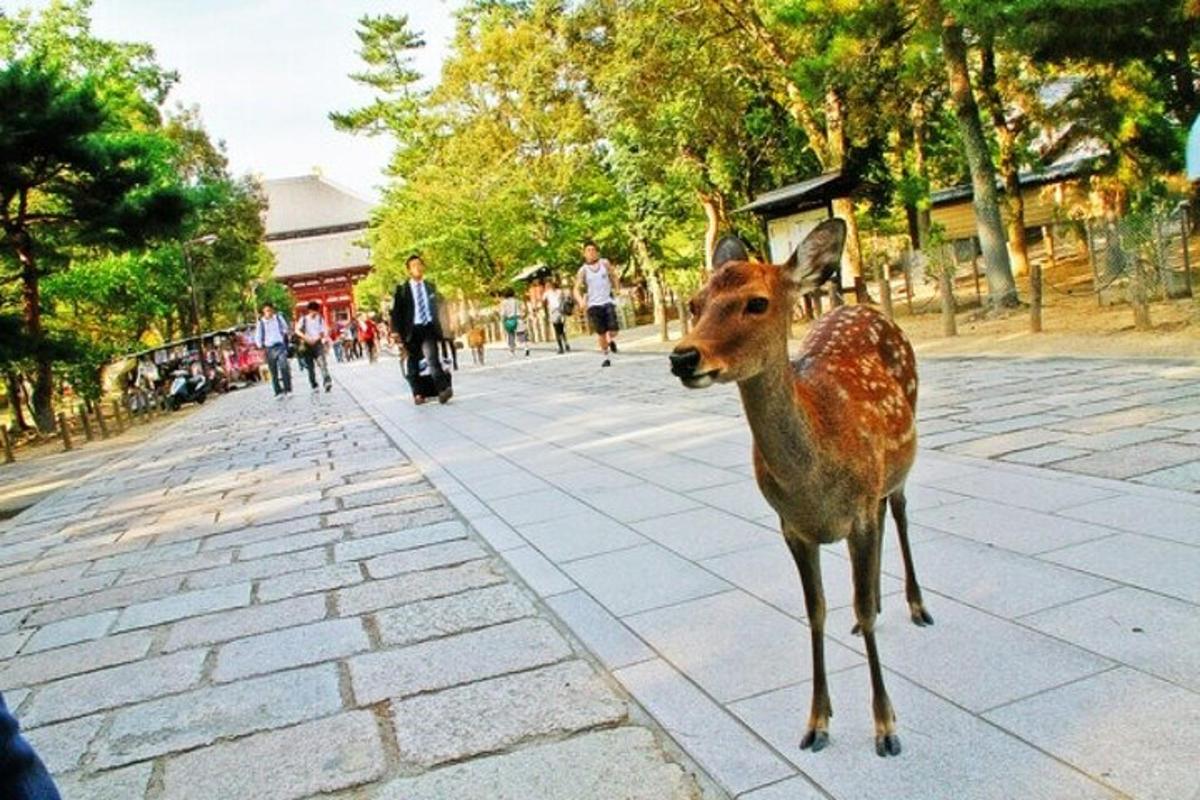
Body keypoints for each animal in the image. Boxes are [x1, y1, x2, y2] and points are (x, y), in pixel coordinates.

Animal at [672, 219, 931, 758]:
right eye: (695, 301)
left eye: (756, 302)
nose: (683, 356)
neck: (812, 482)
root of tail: (861, 306)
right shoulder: (791, 527)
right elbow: (816, 611)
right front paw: (817, 723)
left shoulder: (857, 512)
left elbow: (858, 608)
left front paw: (886, 728)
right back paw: (878, 603)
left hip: (897, 461)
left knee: (898, 508)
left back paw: (917, 606)